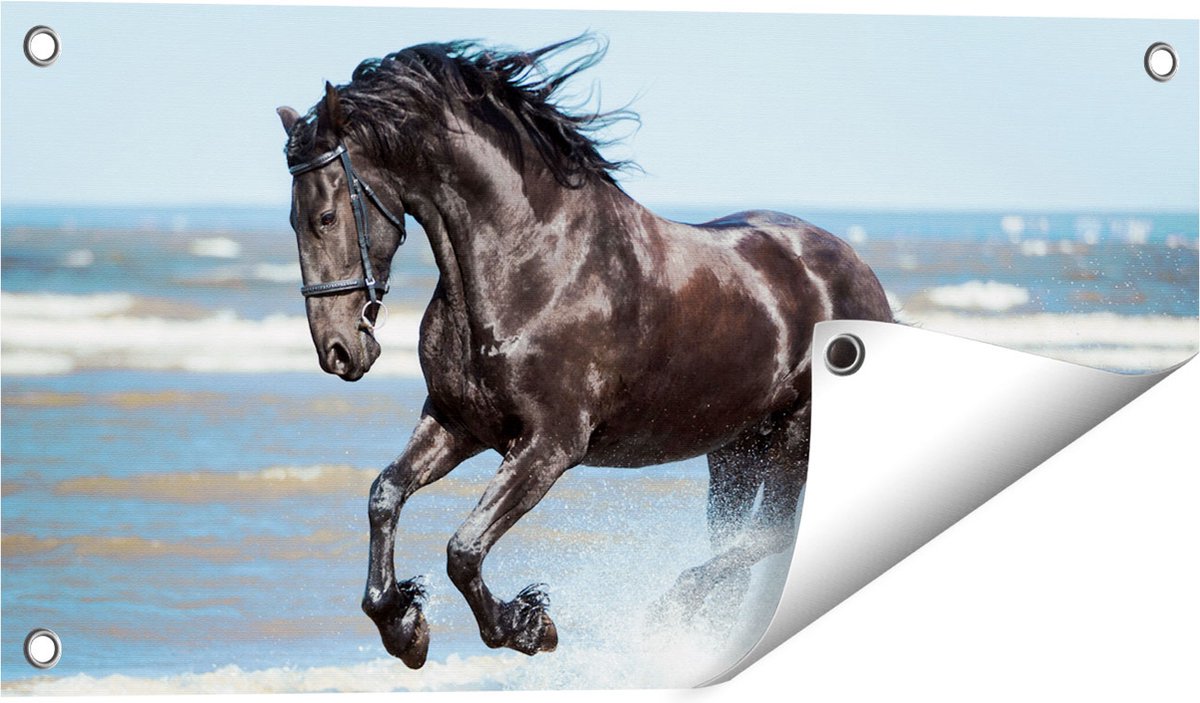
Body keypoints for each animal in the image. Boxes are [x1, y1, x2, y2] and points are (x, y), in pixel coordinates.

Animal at [277, 36, 893, 669]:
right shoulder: (457, 423)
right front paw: (403, 625)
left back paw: (667, 615)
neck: (532, 263)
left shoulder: (551, 445)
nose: (338, 351)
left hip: (796, 435)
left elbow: (464, 549)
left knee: (770, 535)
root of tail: (859, 273)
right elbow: (385, 495)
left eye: (326, 216)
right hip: (735, 450)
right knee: (742, 541)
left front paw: (527, 626)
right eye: (294, 219)